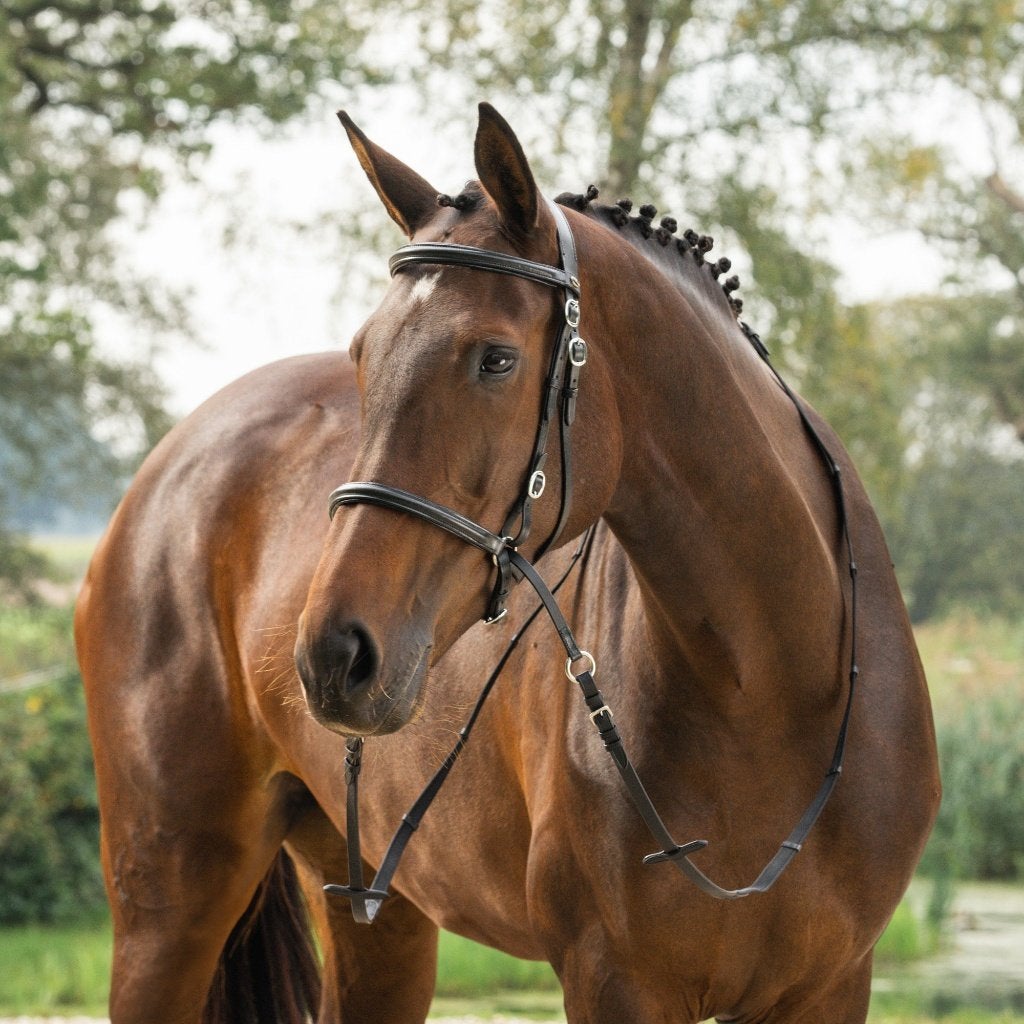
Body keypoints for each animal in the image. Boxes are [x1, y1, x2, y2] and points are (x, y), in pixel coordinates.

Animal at [75, 102, 940, 1024]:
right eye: (363, 355)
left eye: (496, 358)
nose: (335, 656)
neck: (767, 689)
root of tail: (167, 467)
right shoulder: (612, 981)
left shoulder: (832, 984)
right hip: (170, 904)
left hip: (373, 911)